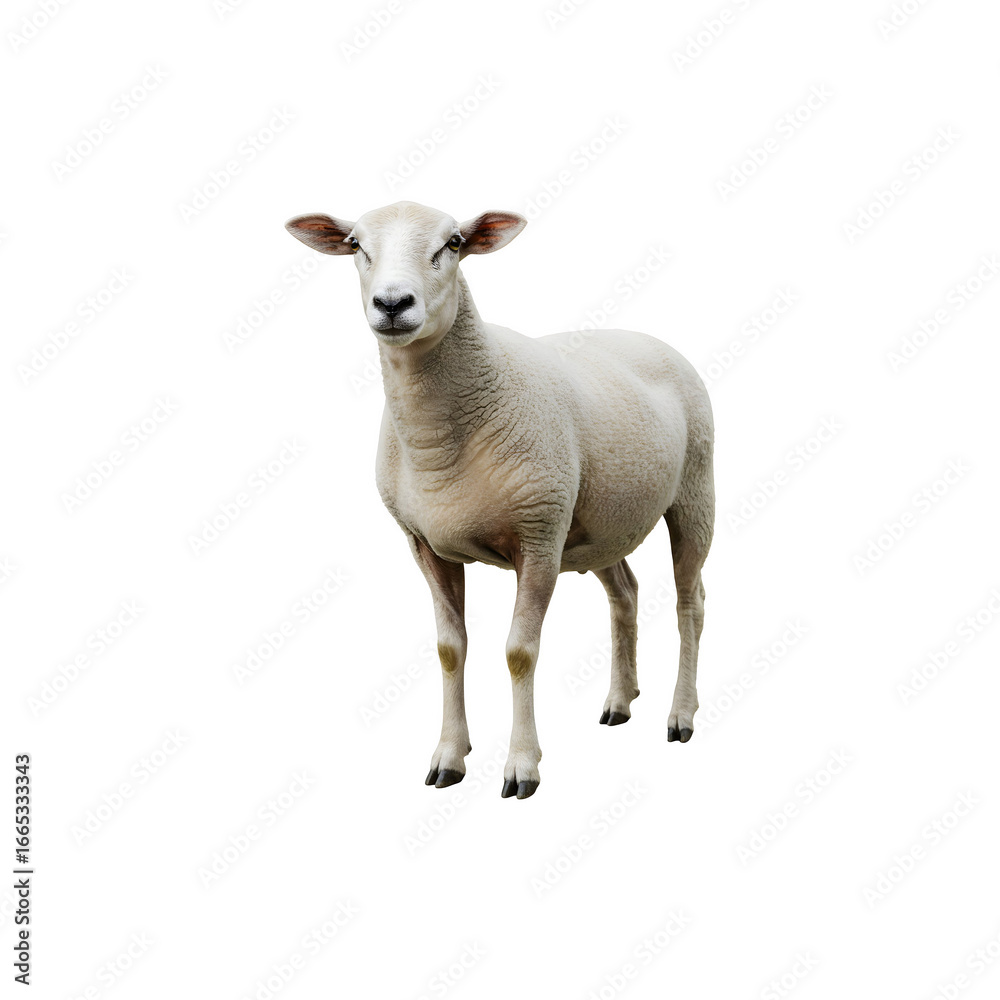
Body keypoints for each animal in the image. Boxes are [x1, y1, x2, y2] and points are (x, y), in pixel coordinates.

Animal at [285, 201, 715, 799]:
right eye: (355, 245)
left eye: (454, 243)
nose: (392, 304)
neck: (439, 443)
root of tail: (647, 337)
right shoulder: (426, 545)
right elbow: (449, 649)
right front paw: (449, 756)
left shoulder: (538, 541)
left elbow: (518, 652)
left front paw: (522, 765)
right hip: (597, 522)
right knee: (625, 592)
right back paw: (619, 702)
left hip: (694, 493)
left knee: (690, 602)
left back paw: (681, 715)